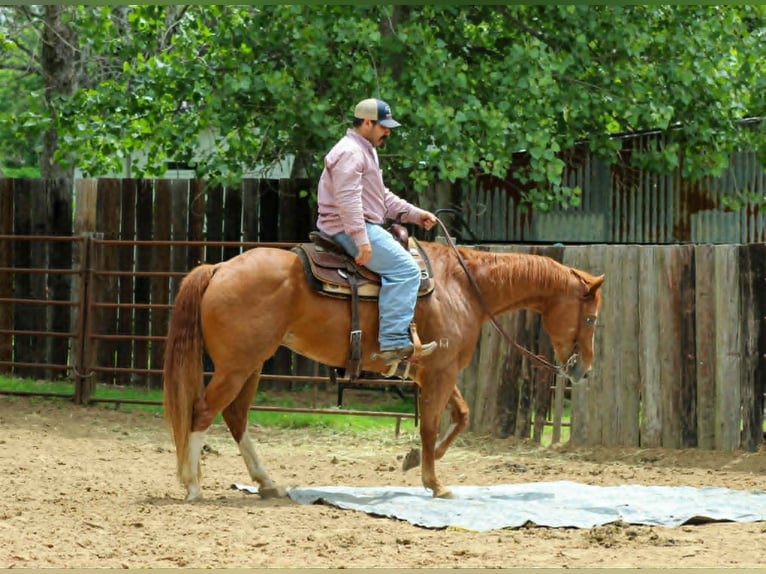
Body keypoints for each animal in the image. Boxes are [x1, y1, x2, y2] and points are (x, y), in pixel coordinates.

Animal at [162, 239, 605, 501]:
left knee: (235, 417)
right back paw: (192, 483)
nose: (583, 371)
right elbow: (431, 425)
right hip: (236, 367)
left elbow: (460, 416)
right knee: (202, 412)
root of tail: (219, 268)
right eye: (591, 319)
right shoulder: (441, 372)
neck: (463, 287)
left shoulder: (435, 370)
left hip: (251, 365)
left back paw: (267, 483)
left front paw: (413, 461)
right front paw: (435, 483)